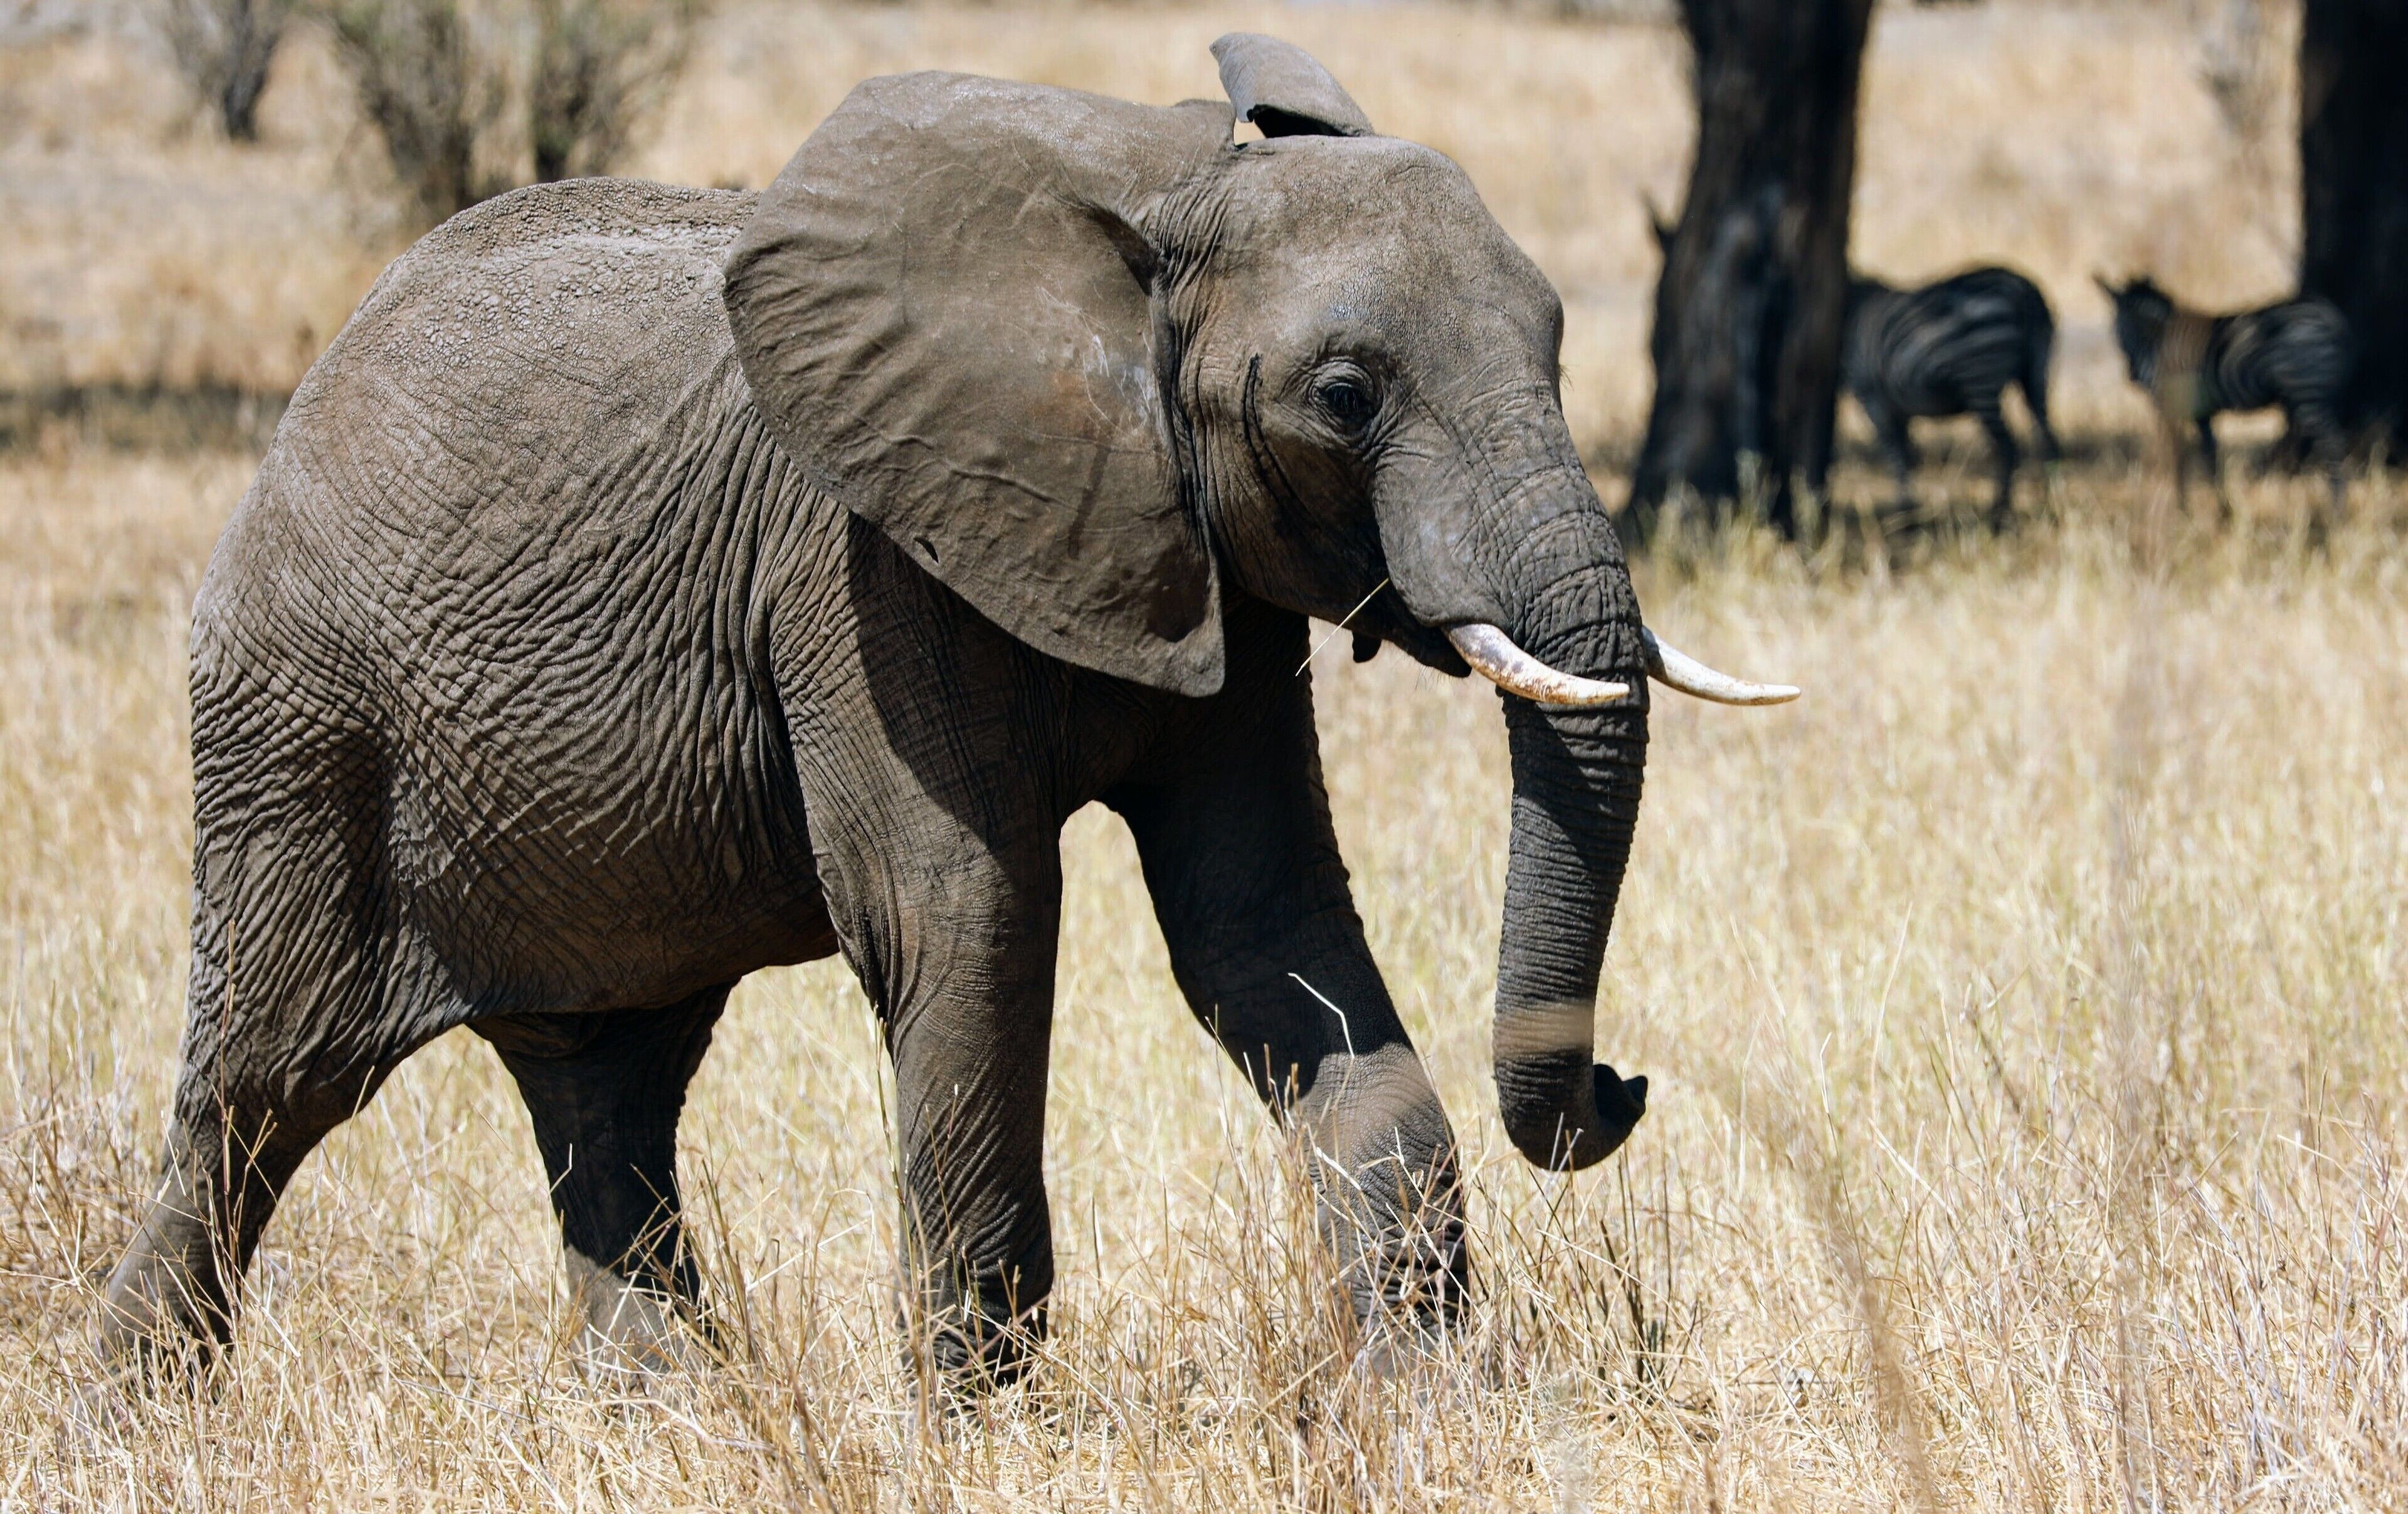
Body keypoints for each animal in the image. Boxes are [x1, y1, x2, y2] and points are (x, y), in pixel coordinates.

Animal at [99, 34, 1795, 1382]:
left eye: (1560, 343)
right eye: (1342, 398)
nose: (1622, 1087)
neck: (1156, 208)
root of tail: (311, 390)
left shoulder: (1216, 582)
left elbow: (1269, 931)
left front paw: (1430, 1397)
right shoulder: (864, 566)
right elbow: (964, 917)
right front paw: (986, 1423)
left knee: (610, 1085)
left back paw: (672, 1413)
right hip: (298, 722)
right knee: (264, 1088)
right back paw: (139, 1411)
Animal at [1842, 267, 2060, 531]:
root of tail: (2022, 289)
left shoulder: (1872, 395)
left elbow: (1896, 454)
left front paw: (1905, 513)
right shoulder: (1896, 405)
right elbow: (1909, 454)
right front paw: (1911, 511)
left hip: (1980, 378)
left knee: (2009, 446)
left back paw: (1997, 512)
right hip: (2035, 373)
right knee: (2048, 438)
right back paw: (2051, 502)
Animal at [2097, 276, 2352, 519]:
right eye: (2120, 327)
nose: (2134, 375)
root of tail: (2329, 314)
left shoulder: (2170, 409)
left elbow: (2177, 457)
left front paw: (2181, 508)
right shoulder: (2202, 414)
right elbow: (2211, 458)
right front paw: (2223, 508)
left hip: (2306, 390)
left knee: (2331, 443)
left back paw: (2336, 512)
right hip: (2300, 395)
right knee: (2296, 440)